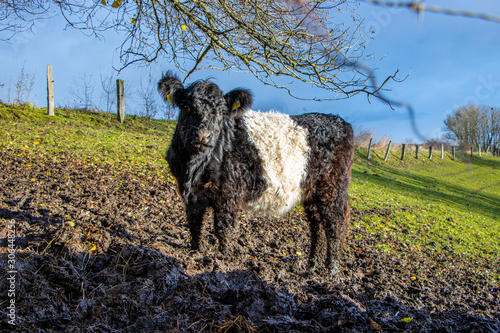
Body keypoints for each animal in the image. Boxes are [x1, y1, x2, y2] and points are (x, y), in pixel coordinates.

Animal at [158, 71, 354, 272]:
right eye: (186, 107)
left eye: (220, 111)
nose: (203, 136)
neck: (194, 167)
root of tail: (339, 121)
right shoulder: (192, 194)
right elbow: (194, 224)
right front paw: (196, 251)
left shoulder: (229, 194)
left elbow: (223, 228)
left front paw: (222, 260)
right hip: (312, 193)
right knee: (317, 226)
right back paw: (313, 265)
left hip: (332, 189)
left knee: (336, 224)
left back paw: (332, 269)